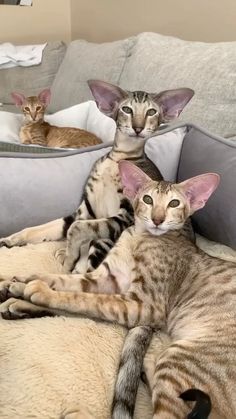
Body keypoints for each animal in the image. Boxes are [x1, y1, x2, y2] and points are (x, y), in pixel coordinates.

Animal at [0, 81, 194, 278]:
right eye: (127, 109)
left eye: (151, 112)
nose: (138, 128)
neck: (118, 158)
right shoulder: (84, 211)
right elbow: (40, 228)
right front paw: (11, 239)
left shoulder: (125, 216)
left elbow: (76, 229)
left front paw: (69, 256)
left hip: (107, 242)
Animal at [1, 162, 232, 419]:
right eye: (148, 199)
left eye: (174, 203)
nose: (158, 219)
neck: (139, 236)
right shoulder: (108, 280)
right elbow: (61, 280)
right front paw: (18, 281)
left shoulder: (143, 303)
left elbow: (79, 299)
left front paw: (38, 291)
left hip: (180, 360)